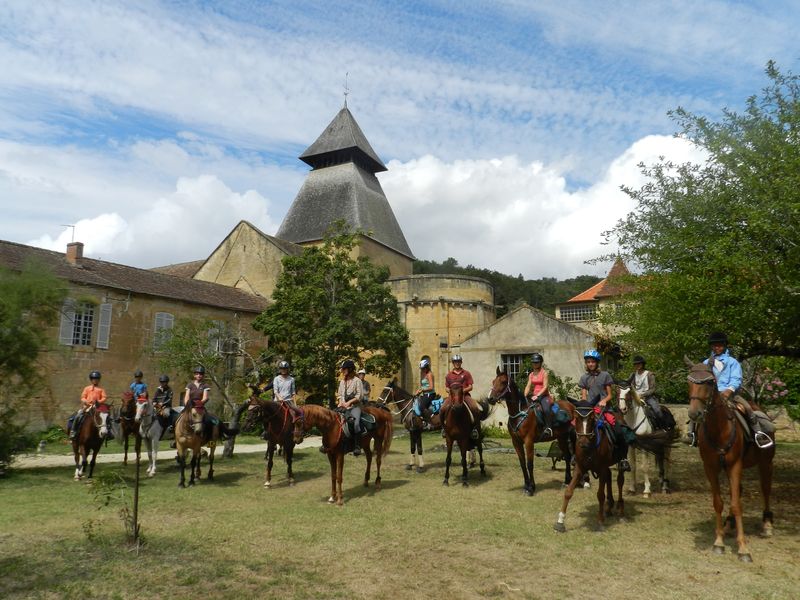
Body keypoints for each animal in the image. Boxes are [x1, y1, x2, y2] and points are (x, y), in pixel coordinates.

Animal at [684, 356, 780, 564]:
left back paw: (767, 524)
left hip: (766, 463)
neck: (719, 428)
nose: (695, 414)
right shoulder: (711, 468)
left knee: (766, 490)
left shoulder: (735, 465)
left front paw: (743, 549)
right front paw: (719, 542)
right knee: (740, 491)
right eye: (689, 381)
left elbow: (737, 505)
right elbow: (718, 502)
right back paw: (729, 524)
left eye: (710, 382)